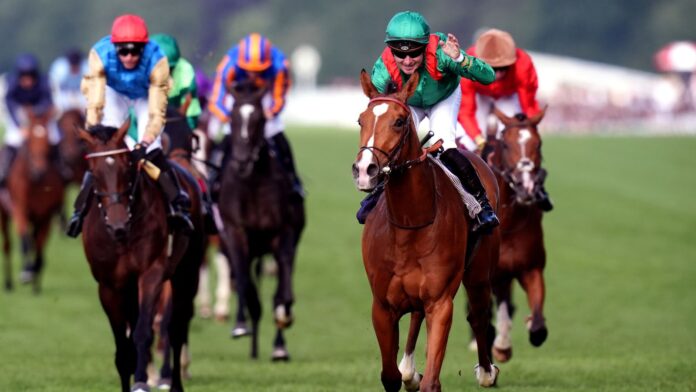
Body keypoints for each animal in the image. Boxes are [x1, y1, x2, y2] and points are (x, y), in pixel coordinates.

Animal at [6, 110, 65, 290]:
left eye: (47, 140)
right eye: (30, 138)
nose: (39, 170)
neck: (35, 182)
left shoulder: (45, 215)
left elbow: (39, 245)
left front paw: (35, 270)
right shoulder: (19, 209)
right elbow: (25, 240)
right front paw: (26, 271)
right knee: (8, 246)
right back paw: (8, 283)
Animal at [78, 121, 207, 390]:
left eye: (126, 167)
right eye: (93, 172)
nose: (118, 225)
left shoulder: (151, 274)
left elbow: (143, 331)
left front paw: (141, 382)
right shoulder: (109, 285)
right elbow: (122, 345)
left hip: (187, 272)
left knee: (177, 327)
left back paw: (174, 382)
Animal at [218, 80, 304, 362]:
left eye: (259, 119)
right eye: (233, 117)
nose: (242, 161)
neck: (253, 183)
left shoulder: (284, 231)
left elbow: (282, 290)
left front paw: (284, 315)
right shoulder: (235, 232)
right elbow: (244, 280)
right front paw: (240, 324)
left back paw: (278, 346)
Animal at [354, 69, 500, 390]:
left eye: (399, 121)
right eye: (361, 120)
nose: (365, 170)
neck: (410, 223)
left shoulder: (440, 302)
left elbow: (432, 381)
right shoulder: (381, 306)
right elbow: (389, 375)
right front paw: (406, 373)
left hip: (480, 272)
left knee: (479, 315)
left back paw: (486, 371)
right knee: (415, 318)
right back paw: (410, 368)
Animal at [478, 106, 548, 362]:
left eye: (538, 144)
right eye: (506, 145)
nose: (526, 186)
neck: (509, 221)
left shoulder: (532, 267)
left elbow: (538, 327)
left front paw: (530, 324)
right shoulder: (496, 274)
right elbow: (500, 313)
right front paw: (501, 347)